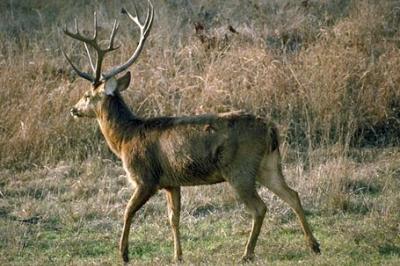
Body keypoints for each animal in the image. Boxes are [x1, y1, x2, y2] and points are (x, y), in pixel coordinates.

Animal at [61, 0, 318, 262]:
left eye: (87, 95)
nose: (73, 109)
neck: (125, 138)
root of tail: (271, 130)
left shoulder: (145, 178)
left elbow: (127, 212)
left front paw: (123, 254)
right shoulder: (171, 182)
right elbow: (173, 218)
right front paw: (178, 255)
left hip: (240, 168)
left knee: (260, 207)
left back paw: (247, 253)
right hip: (268, 164)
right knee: (293, 194)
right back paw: (313, 245)